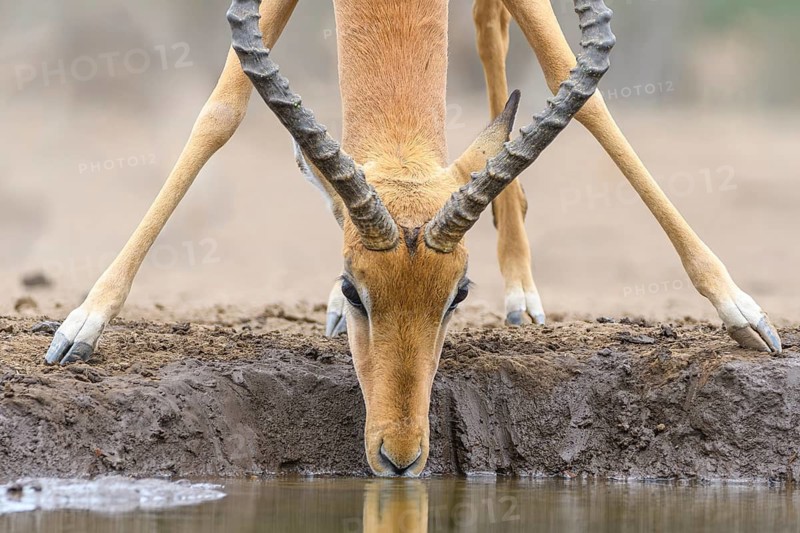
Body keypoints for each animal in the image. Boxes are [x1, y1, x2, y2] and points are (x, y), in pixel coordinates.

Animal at [44, 0, 782, 477]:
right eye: (355, 288)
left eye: (458, 295)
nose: (399, 458)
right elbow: (221, 109)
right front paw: (81, 326)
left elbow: (580, 88)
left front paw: (743, 314)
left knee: (491, 33)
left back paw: (524, 288)